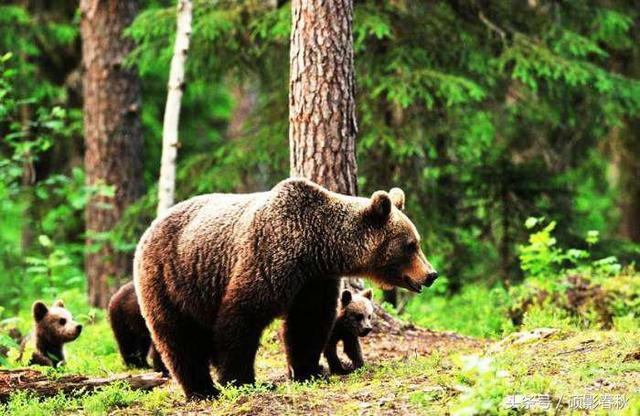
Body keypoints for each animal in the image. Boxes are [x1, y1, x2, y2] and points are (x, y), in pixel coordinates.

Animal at [133, 177, 438, 398]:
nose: (431, 274)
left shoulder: (314, 280)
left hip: (199, 289)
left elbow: (308, 323)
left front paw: (308, 371)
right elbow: (242, 317)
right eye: (410, 245)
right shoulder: (269, 258)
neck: (316, 247)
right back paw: (202, 390)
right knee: (180, 337)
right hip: (171, 278)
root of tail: (149, 228)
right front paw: (242, 380)